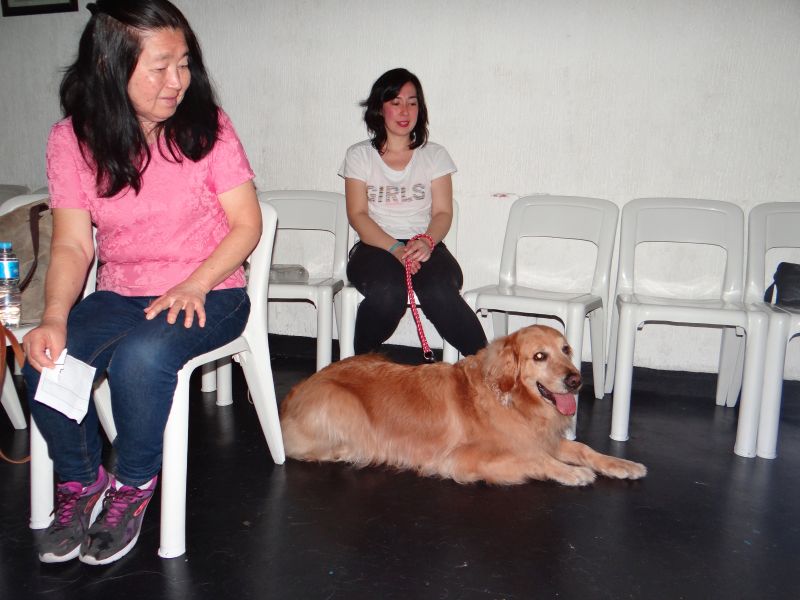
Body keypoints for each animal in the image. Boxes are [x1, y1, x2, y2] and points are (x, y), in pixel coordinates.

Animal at [279, 325, 646, 486]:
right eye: (540, 356)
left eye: (566, 349)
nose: (576, 380)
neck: (511, 400)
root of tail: (294, 392)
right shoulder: (462, 459)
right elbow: (533, 459)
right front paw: (571, 472)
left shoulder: (541, 437)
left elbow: (583, 448)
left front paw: (620, 464)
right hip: (342, 402)